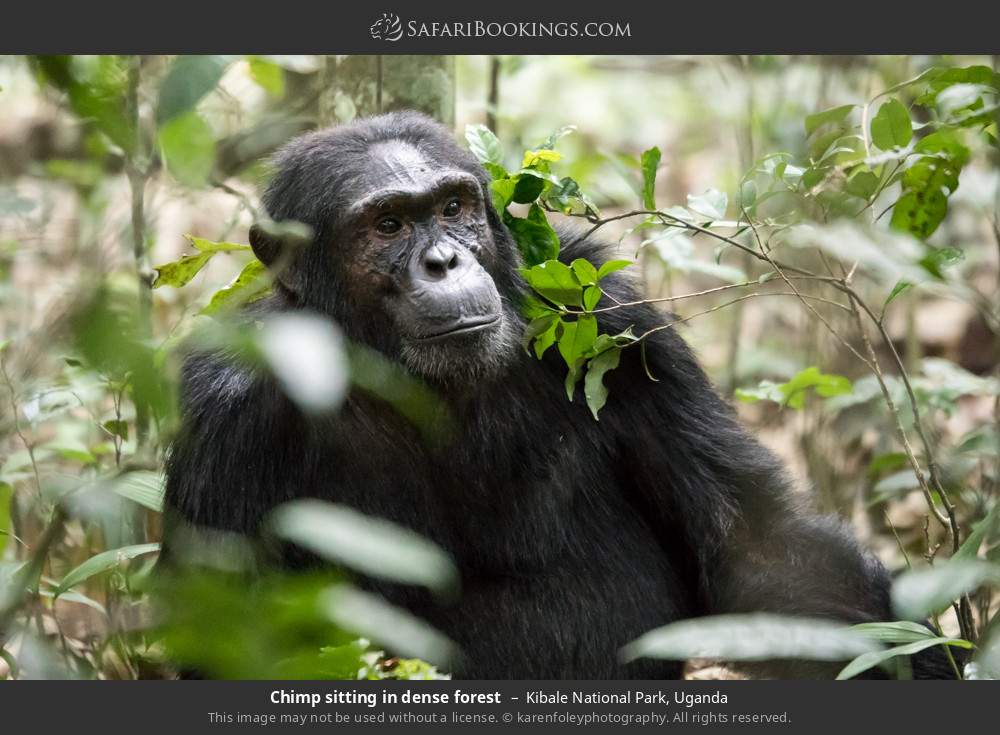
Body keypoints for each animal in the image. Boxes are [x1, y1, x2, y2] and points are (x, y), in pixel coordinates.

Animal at [164, 112, 952, 680]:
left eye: (454, 207)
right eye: (387, 224)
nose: (443, 261)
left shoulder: (617, 316)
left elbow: (760, 548)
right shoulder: (229, 413)